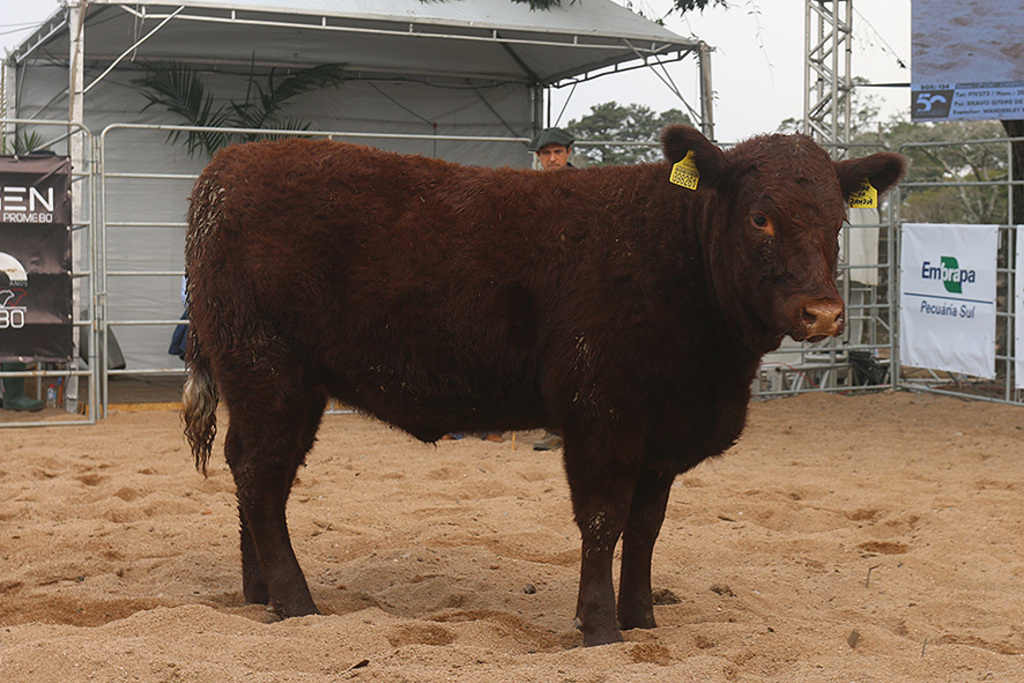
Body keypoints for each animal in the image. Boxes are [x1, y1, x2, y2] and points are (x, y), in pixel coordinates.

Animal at [184, 126, 905, 647]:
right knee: (262, 476)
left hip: (265, 379)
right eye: (760, 218)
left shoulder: (662, 434)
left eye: (839, 220)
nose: (823, 313)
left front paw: (642, 617)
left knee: (251, 473)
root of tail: (230, 165)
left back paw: (259, 593)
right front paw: (601, 628)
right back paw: (296, 601)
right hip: (271, 369)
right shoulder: (603, 413)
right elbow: (604, 520)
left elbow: (647, 526)